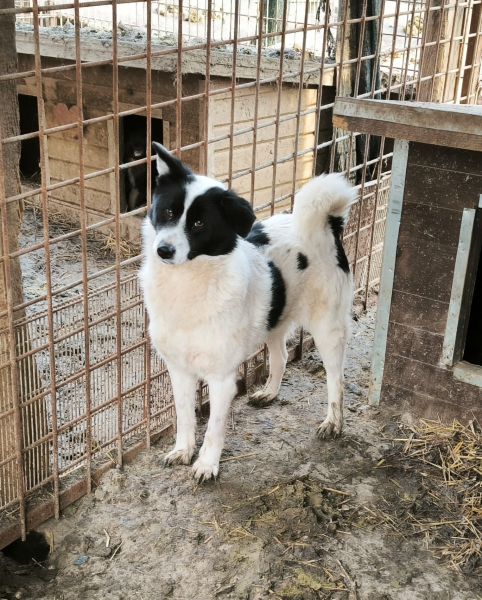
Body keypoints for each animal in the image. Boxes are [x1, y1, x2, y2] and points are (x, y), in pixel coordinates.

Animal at [140, 142, 356, 481]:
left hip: (328, 328)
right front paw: (183, 451)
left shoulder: (221, 378)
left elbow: (214, 427)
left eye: (199, 224)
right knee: (281, 357)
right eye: (169, 212)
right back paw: (269, 392)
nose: (163, 250)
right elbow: (185, 416)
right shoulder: (180, 370)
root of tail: (328, 224)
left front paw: (206, 464)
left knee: (337, 378)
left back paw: (333, 422)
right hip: (274, 320)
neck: (187, 283)